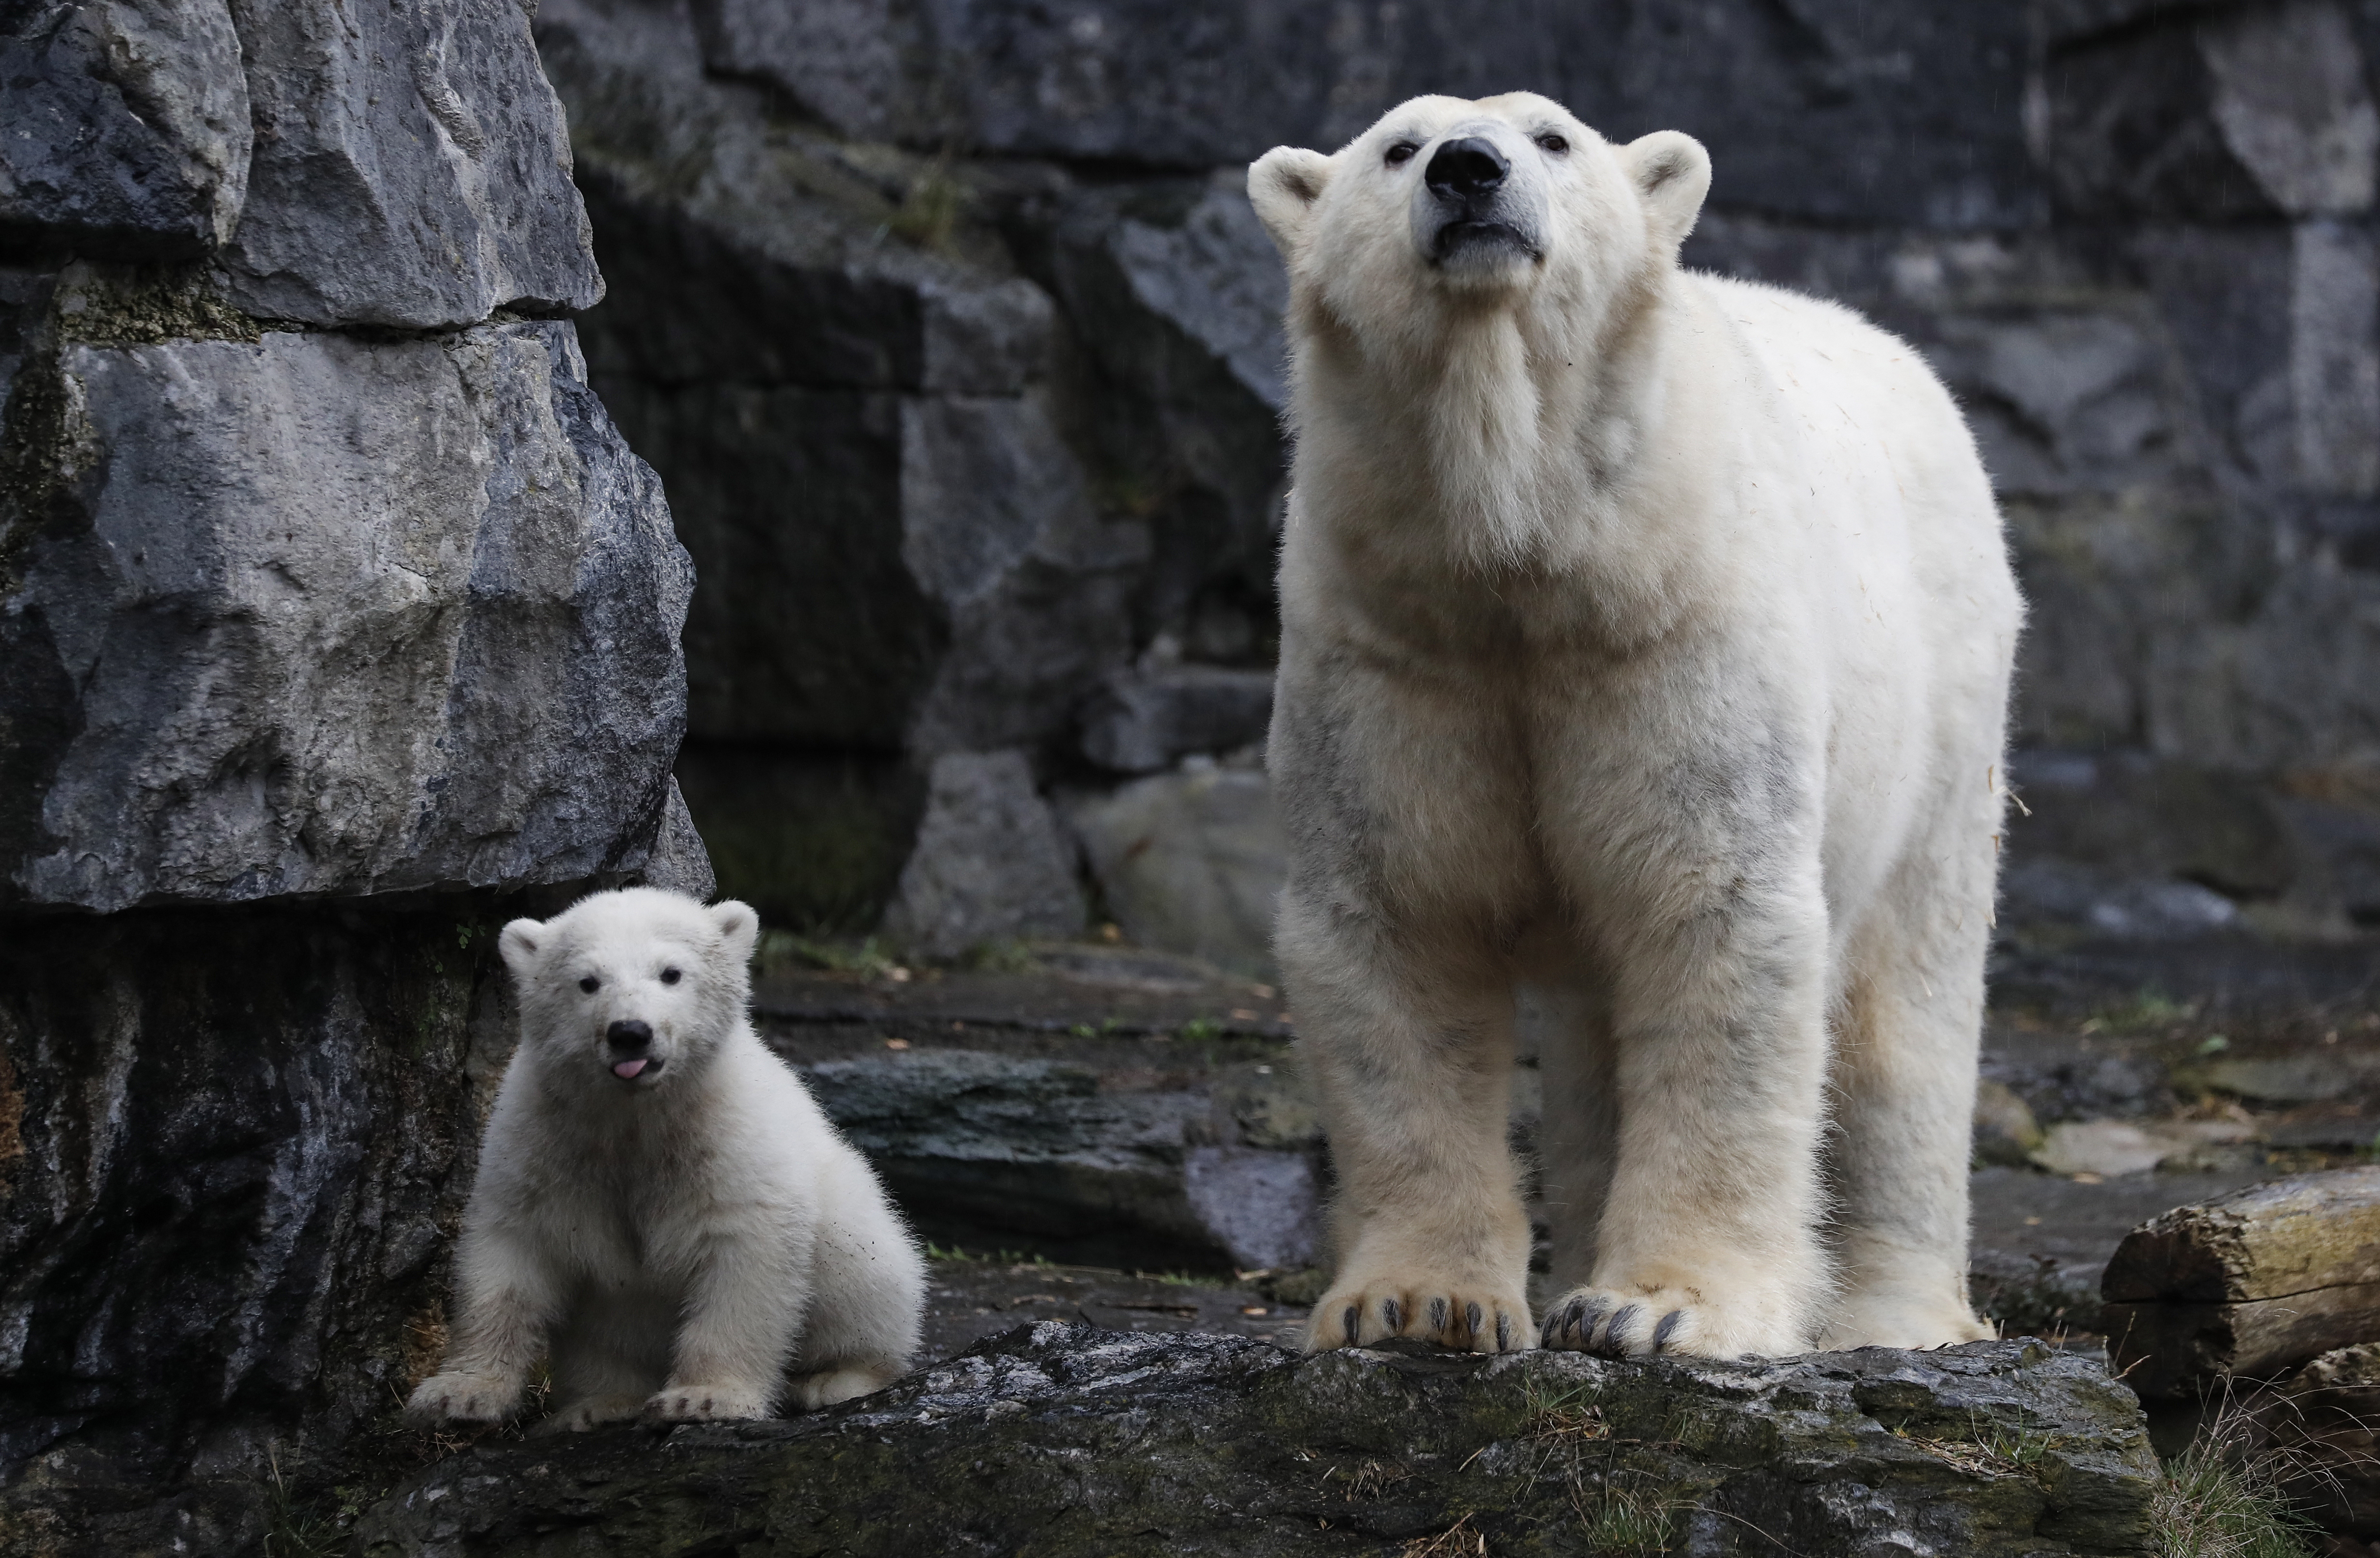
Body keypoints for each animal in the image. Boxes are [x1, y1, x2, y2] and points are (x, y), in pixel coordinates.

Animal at [1256, 95, 2018, 1372]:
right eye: (1397, 146)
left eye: (1551, 137)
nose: (1470, 171)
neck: (1531, 561)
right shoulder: (1389, 648)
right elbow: (1399, 926)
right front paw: (1414, 1303)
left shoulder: (1672, 638)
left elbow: (1708, 916)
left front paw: (1658, 1309)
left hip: (1947, 702)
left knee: (1904, 1006)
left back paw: (1896, 1317)